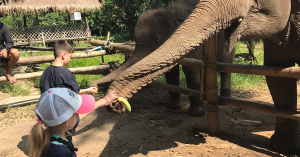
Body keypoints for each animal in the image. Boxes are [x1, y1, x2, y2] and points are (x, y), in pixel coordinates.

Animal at [106, 0, 300, 155]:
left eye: (157, 42)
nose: (116, 105)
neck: (170, 9)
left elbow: (190, 70)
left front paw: (196, 113)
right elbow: (171, 72)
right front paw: (172, 107)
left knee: (225, 65)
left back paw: (222, 99)